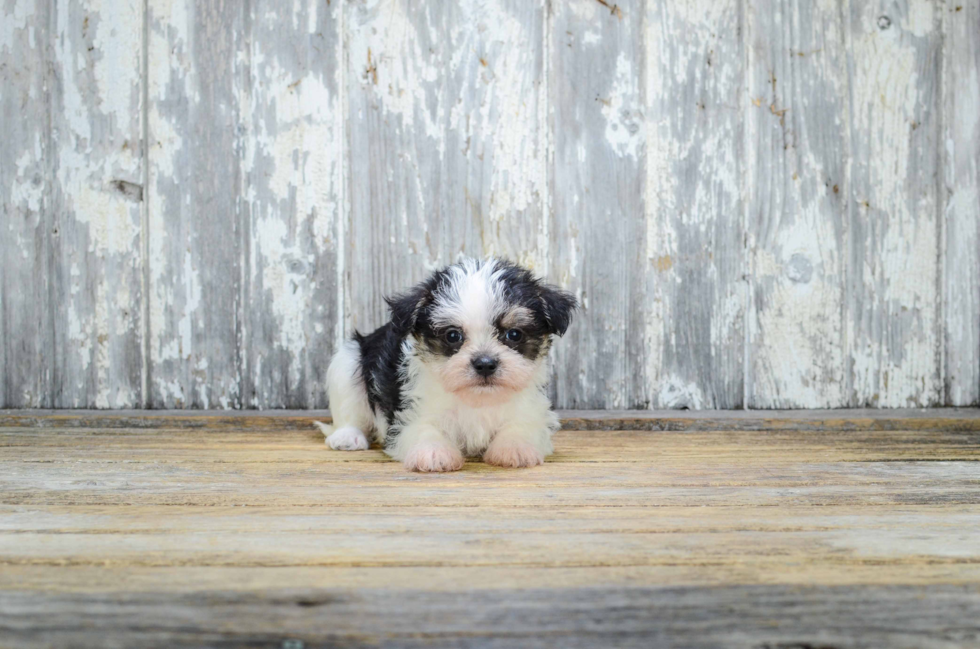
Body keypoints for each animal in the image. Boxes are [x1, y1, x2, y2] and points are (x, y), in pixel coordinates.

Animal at [314, 256, 576, 470]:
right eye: (452, 336)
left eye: (514, 334)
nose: (485, 363)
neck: (477, 399)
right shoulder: (410, 412)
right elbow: (424, 428)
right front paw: (433, 452)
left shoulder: (530, 408)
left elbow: (522, 425)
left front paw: (515, 447)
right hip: (348, 360)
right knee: (349, 411)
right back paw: (347, 437)